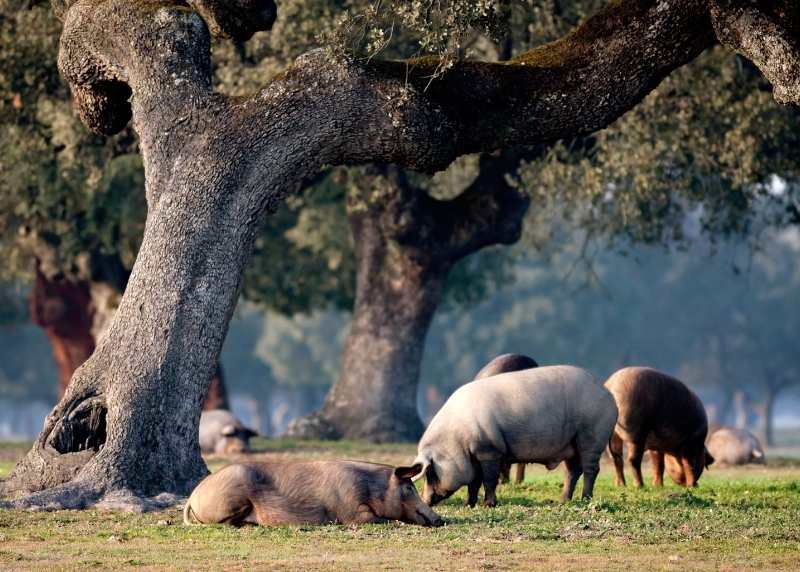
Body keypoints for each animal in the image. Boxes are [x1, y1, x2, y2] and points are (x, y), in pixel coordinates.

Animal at [183, 460, 444, 528]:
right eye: (409, 488)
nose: (440, 519)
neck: (371, 488)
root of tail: (193, 496)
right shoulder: (350, 511)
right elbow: (376, 519)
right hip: (232, 500)